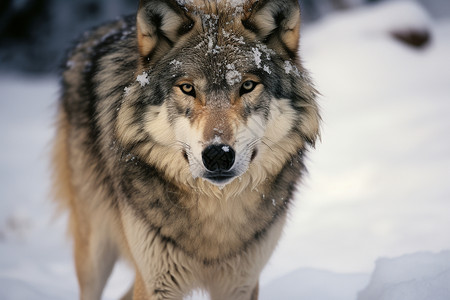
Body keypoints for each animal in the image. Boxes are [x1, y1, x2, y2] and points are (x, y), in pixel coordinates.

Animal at [52, 0, 320, 300]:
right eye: (188, 88)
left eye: (248, 85)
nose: (218, 155)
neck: (216, 209)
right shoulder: (156, 282)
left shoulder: (242, 283)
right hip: (95, 251)